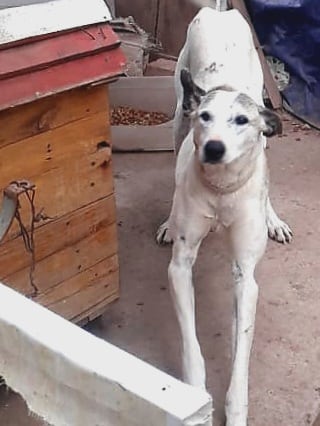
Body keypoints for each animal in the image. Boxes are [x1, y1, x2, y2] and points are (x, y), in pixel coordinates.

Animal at [157, 4, 292, 426]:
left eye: (241, 122)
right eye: (205, 117)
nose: (214, 148)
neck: (220, 189)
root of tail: (219, 11)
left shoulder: (246, 279)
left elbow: (240, 362)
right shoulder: (179, 267)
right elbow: (191, 345)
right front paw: (196, 397)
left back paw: (273, 219)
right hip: (176, 117)